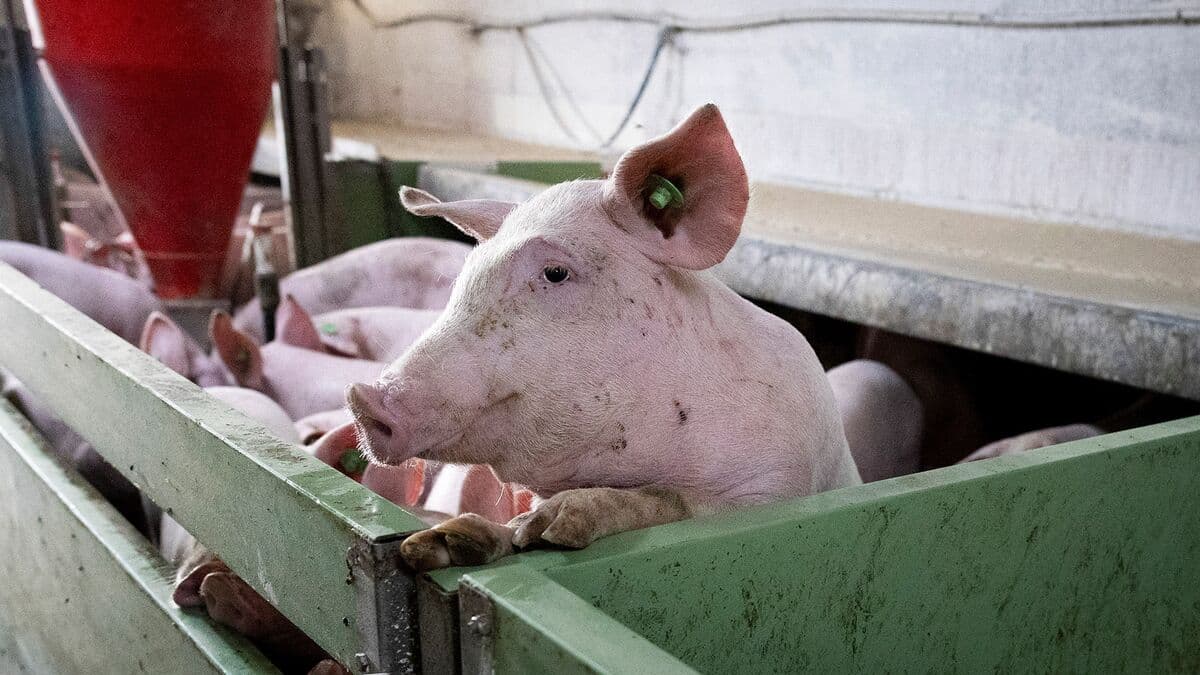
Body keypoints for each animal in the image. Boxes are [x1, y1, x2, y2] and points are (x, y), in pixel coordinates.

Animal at [346, 104, 861, 571]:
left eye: (555, 273)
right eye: (465, 273)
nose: (362, 396)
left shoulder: (775, 485)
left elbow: (672, 502)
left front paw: (550, 526)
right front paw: (437, 544)